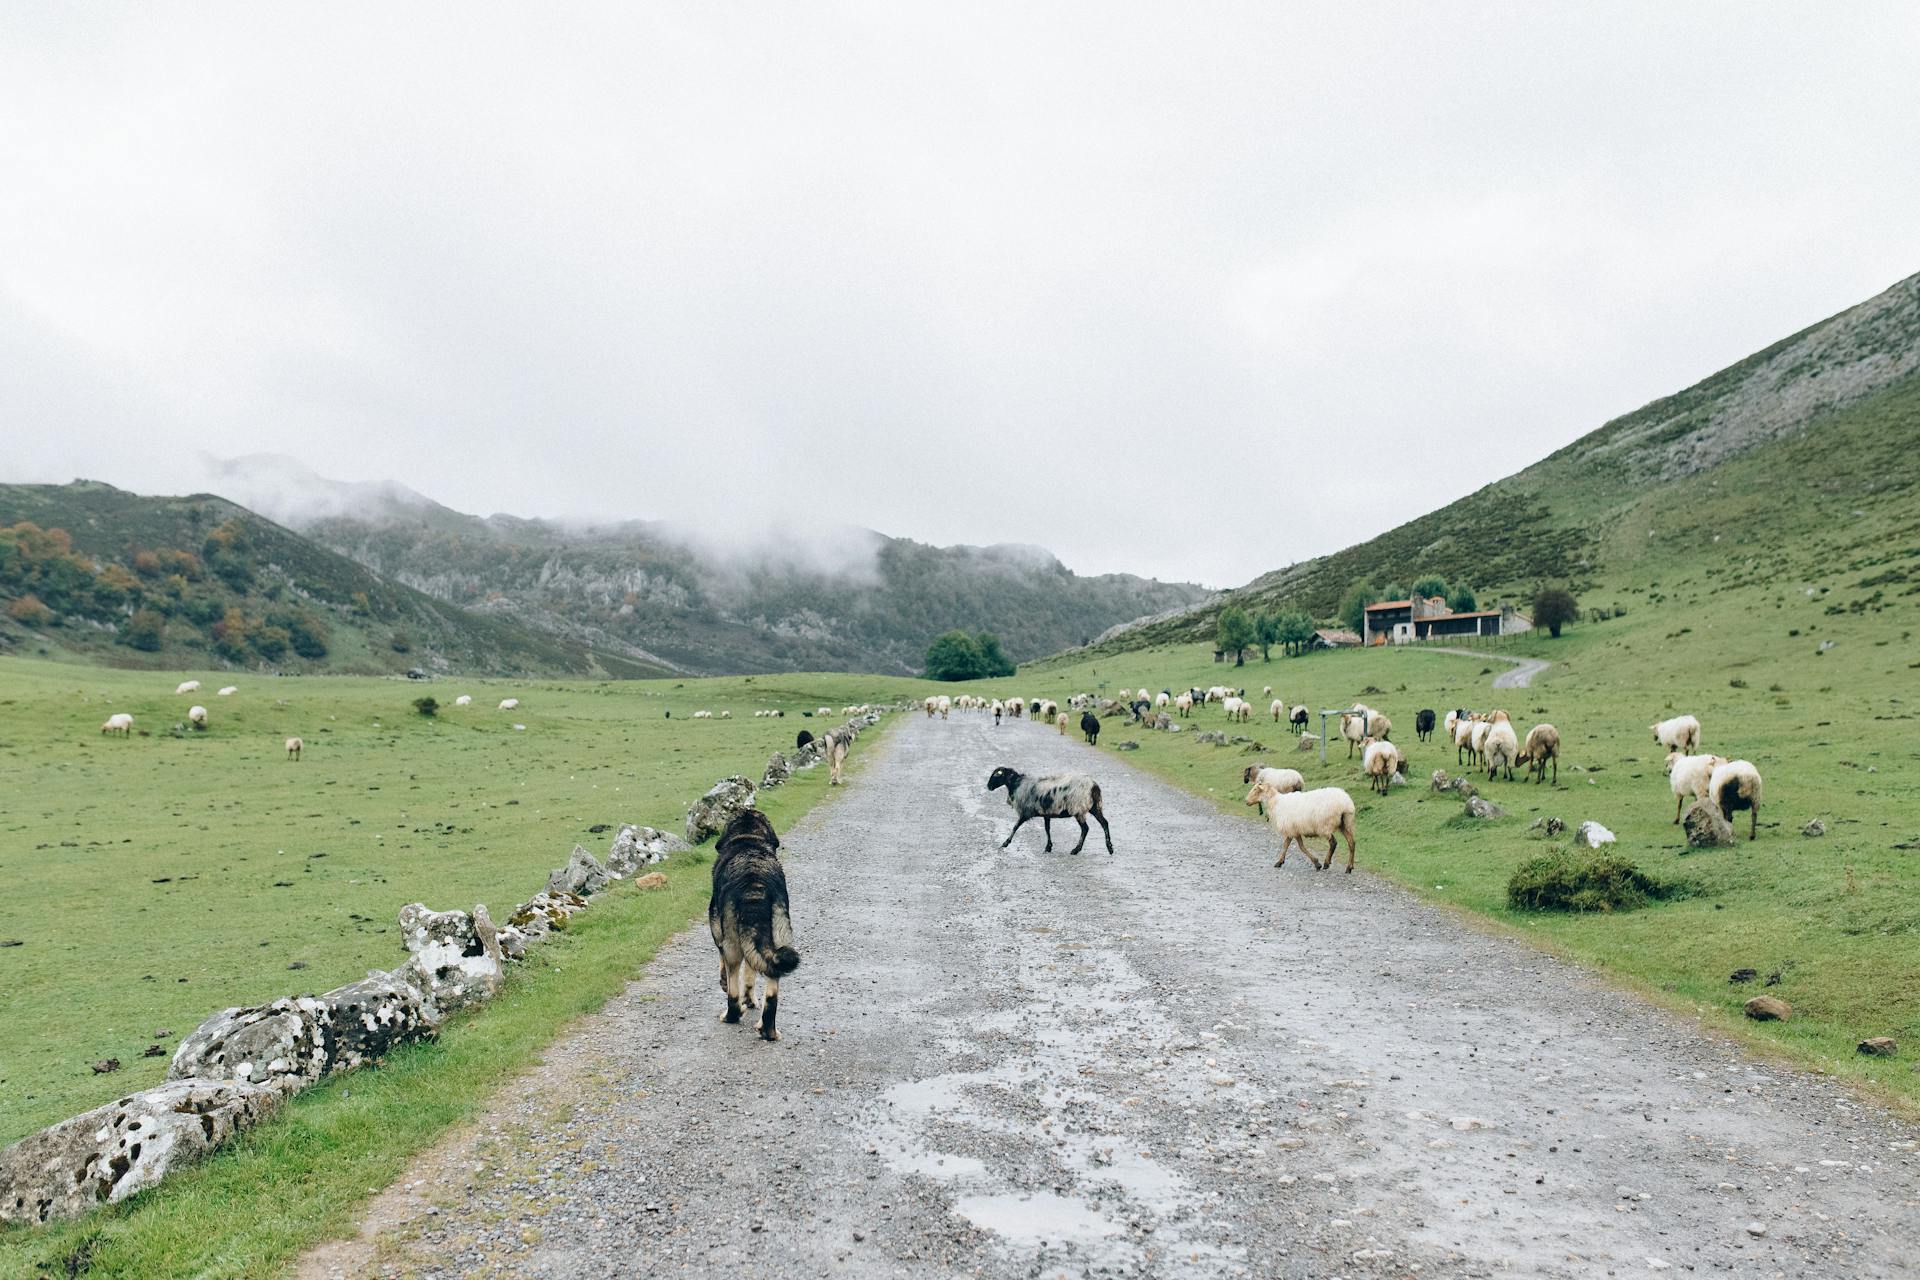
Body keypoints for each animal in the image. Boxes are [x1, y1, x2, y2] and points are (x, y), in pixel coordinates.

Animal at [710, 809, 798, 1043]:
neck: (748, 839)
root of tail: (755, 883)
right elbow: (750, 973)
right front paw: (750, 1000)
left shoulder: (719, 933)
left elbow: (723, 964)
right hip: (780, 933)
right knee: (772, 986)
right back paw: (768, 1030)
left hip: (732, 943)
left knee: (733, 989)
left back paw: (730, 1015)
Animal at [983, 767, 1121, 855]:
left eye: (996, 774)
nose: (988, 787)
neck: (1017, 784)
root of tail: (1093, 785)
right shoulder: (1046, 813)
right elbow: (1047, 829)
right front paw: (1048, 847)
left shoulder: (1026, 812)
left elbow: (1015, 827)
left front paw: (1005, 843)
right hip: (1094, 807)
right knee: (1104, 823)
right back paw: (1109, 848)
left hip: (1078, 808)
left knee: (1085, 829)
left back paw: (1076, 850)